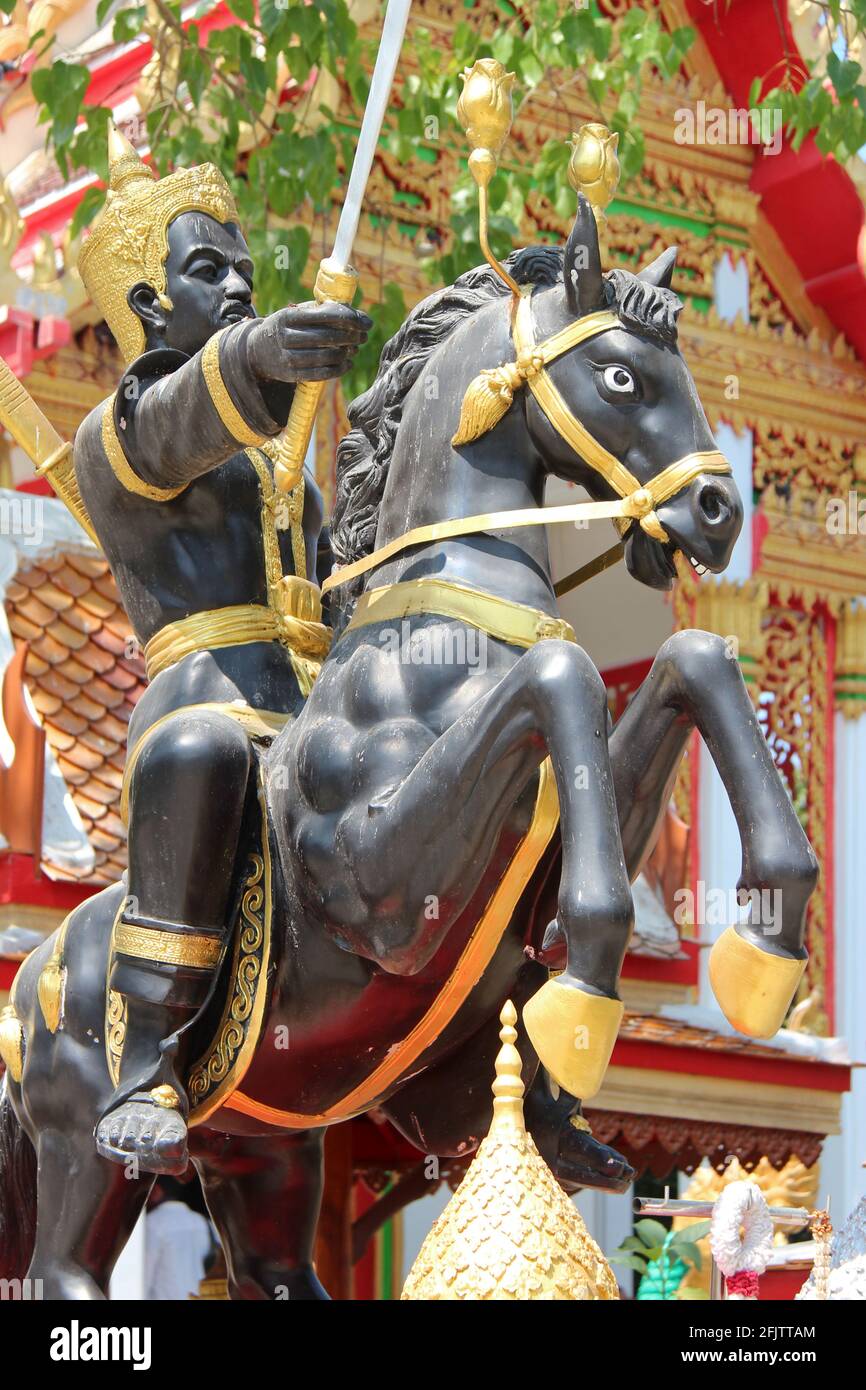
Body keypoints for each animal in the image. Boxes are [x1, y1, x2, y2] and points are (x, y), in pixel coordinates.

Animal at [0, 198, 817, 1301]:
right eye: (620, 377)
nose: (717, 515)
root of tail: (29, 981)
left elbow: (689, 656)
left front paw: (762, 947)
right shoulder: (377, 891)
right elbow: (558, 675)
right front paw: (587, 997)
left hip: (262, 1144)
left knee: (277, 1263)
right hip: (80, 1135)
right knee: (67, 1259)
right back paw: (142, 1103)